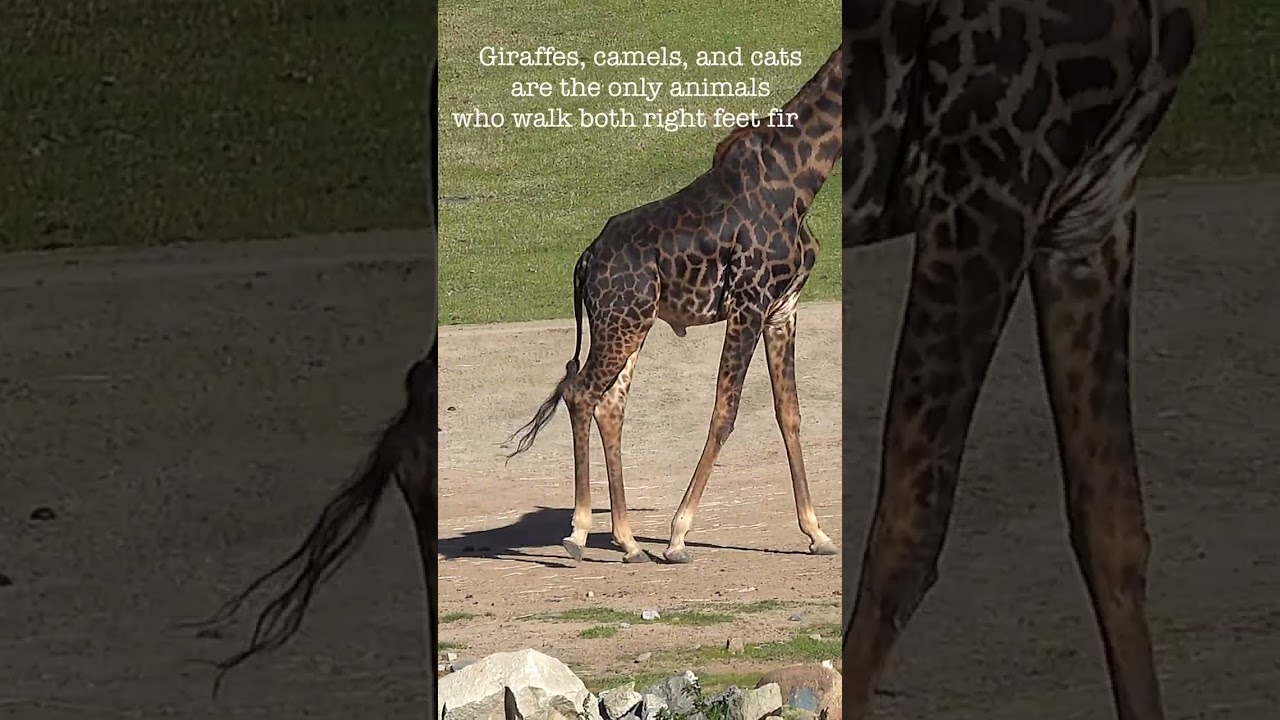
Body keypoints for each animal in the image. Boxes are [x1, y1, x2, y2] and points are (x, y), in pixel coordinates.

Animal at [505, 47, 843, 565]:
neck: (801, 181)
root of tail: (585, 260)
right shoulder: (748, 302)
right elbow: (725, 411)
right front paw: (678, 536)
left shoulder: (782, 308)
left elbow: (790, 413)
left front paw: (817, 533)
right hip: (621, 324)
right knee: (580, 393)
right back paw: (580, 533)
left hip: (629, 325)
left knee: (609, 406)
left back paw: (627, 542)